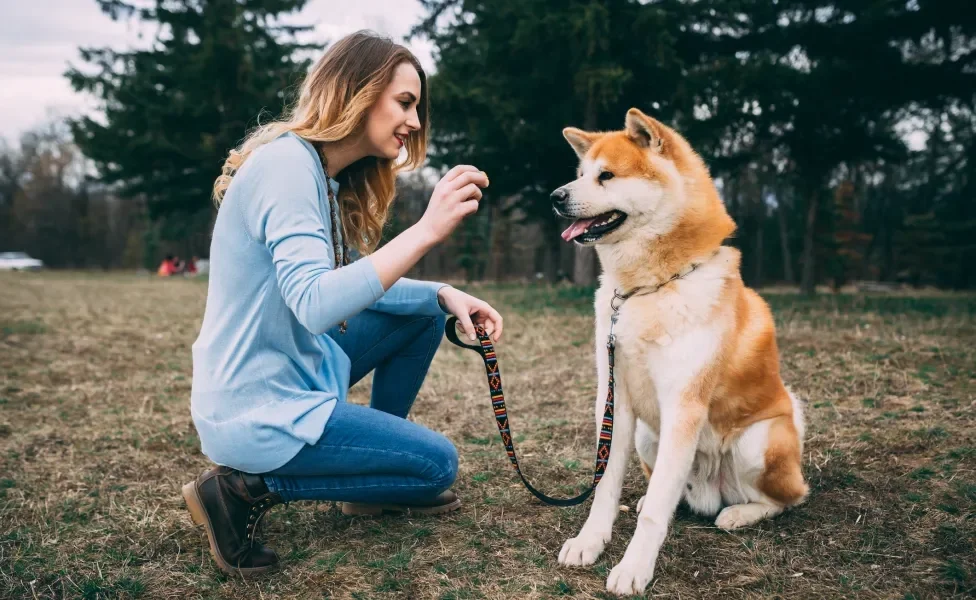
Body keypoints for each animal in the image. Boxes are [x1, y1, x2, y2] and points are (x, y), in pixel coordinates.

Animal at [548, 108, 808, 596]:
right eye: (580, 174)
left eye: (606, 176)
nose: (556, 196)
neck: (647, 289)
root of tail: (711, 491)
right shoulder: (614, 401)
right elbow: (606, 487)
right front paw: (590, 542)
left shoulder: (683, 406)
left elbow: (653, 517)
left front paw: (634, 568)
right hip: (649, 436)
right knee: (669, 490)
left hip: (758, 441)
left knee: (787, 498)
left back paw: (739, 513)